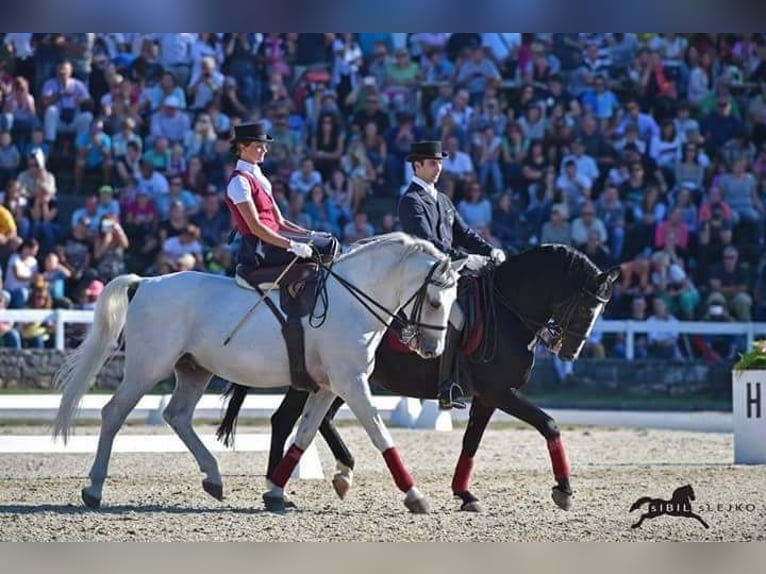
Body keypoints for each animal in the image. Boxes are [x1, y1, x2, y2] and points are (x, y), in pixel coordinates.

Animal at [218, 243, 624, 512]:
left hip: (338, 380)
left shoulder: (487, 396)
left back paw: (333, 475)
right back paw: (278, 488)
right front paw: (564, 490)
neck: (509, 308)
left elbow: (471, 442)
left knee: (319, 420)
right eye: (586, 306)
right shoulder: (499, 391)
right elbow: (549, 424)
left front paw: (464, 494)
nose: (569, 352)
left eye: (601, 308)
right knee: (285, 418)